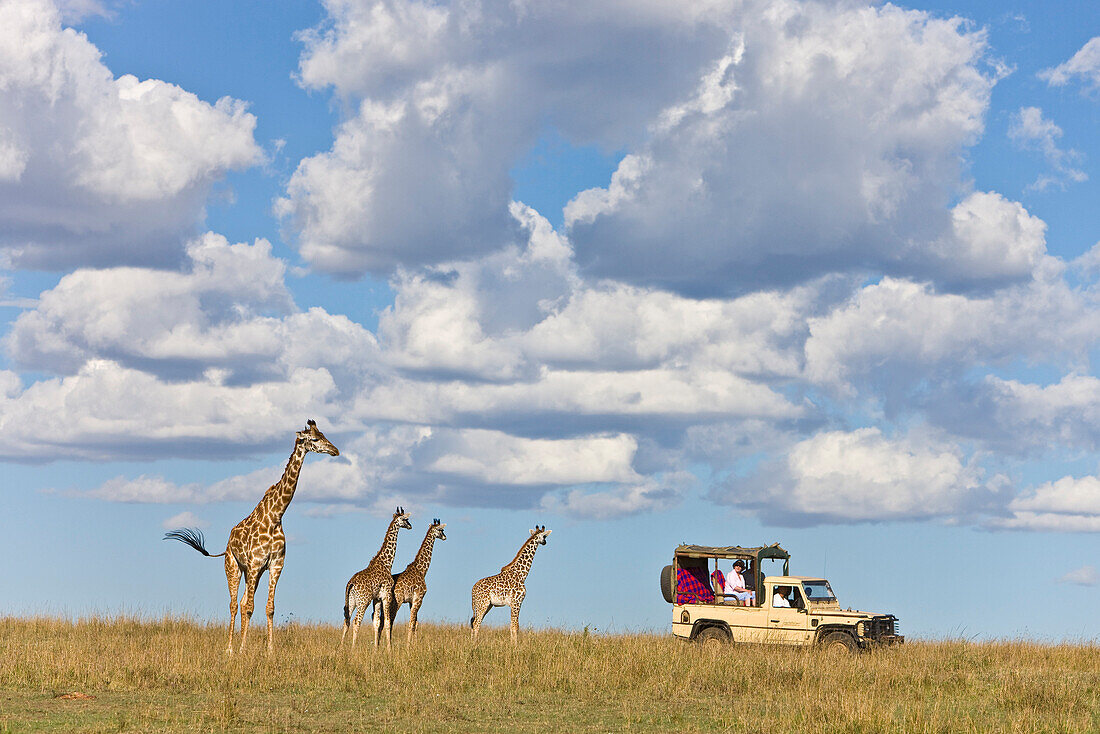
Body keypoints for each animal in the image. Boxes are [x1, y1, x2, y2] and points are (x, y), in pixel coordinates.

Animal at [163, 418, 338, 655]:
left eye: (324, 435)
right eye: (315, 439)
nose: (335, 450)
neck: (276, 516)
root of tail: (227, 544)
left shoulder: (275, 564)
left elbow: (269, 607)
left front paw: (270, 649)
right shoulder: (255, 564)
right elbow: (249, 607)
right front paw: (242, 648)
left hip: (251, 572)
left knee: (243, 600)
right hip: (234, 567)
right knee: (234, 604)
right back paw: (229, 648)